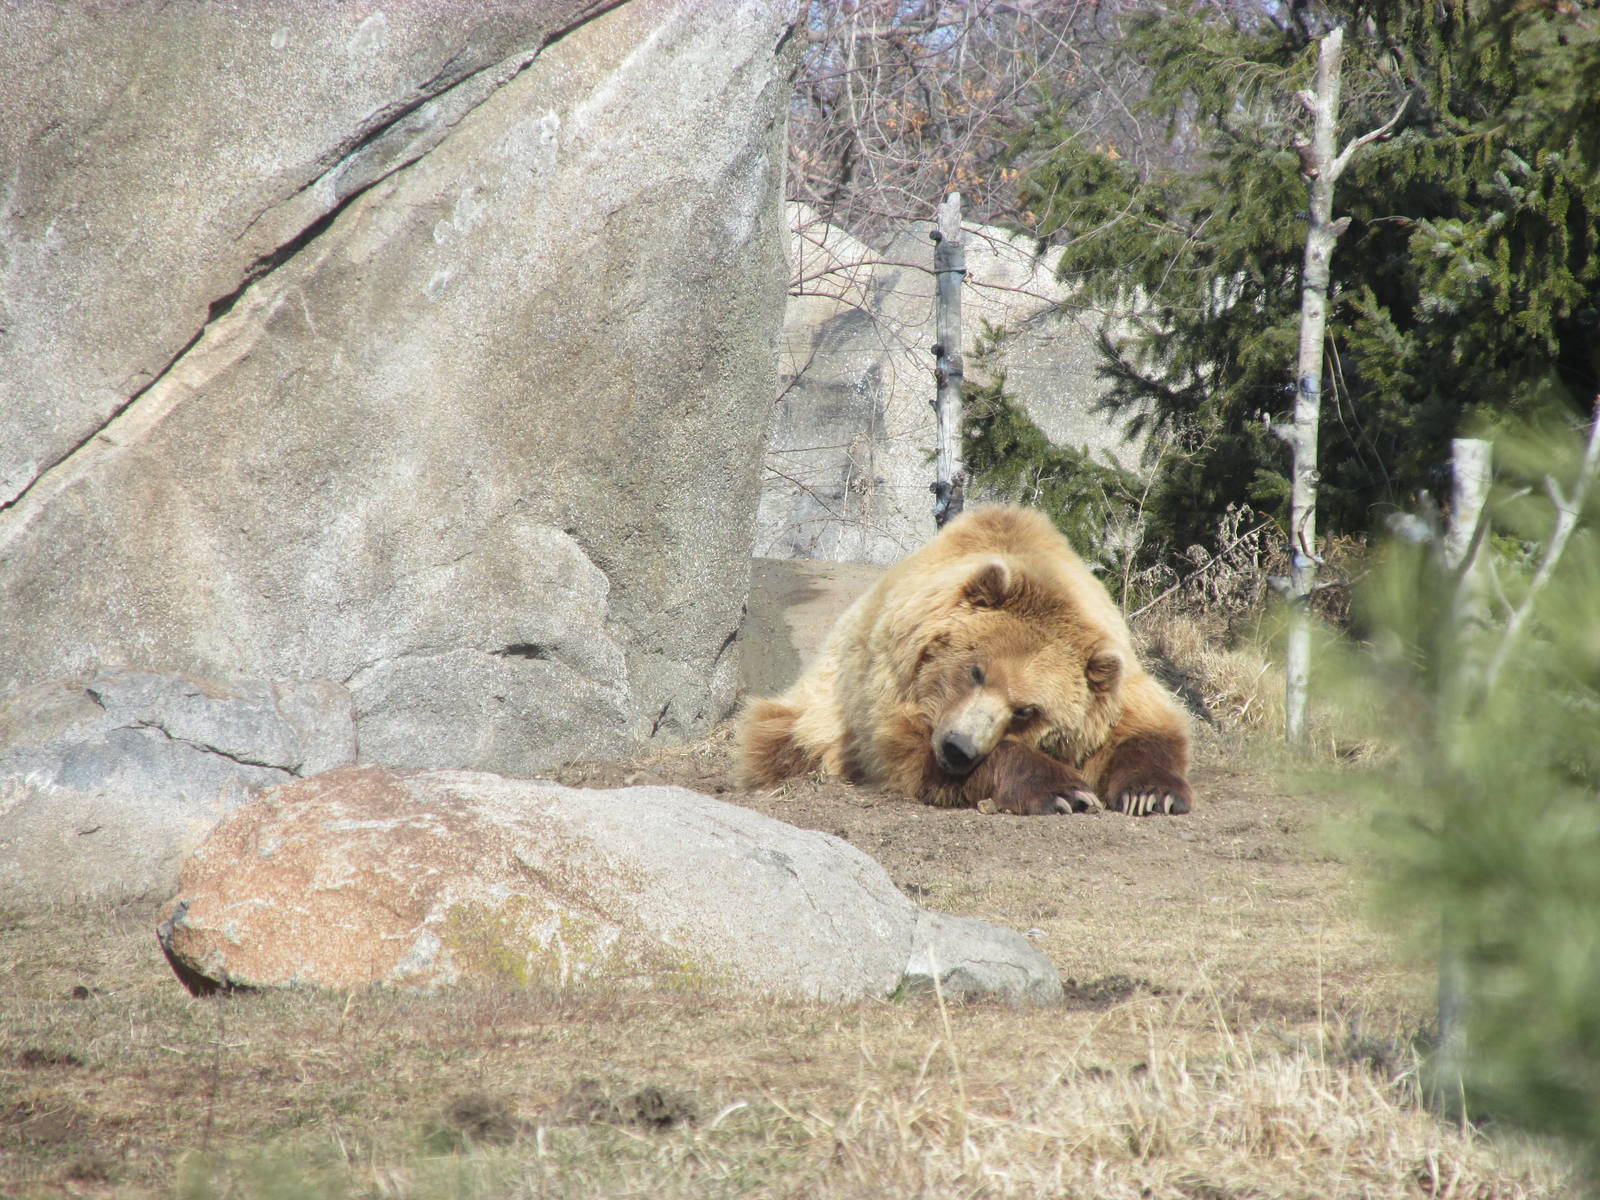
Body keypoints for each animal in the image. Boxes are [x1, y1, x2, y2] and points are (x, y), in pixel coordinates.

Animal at [736, 505, 1193, 816]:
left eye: (1027, 710)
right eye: (976, 671)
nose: (959, 748)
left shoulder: (1116, 678)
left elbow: (1145, 727)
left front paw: (1150, 794)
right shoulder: (893, 687)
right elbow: (906, 749)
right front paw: (1065, 791)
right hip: (822, 706)